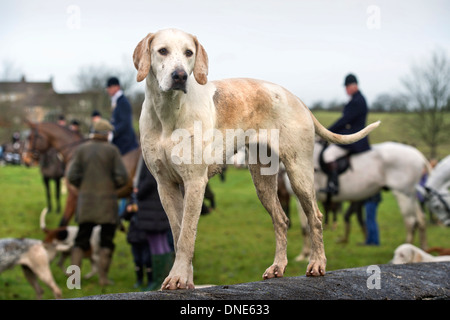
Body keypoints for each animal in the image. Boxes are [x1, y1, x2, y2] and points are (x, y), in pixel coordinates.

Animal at [286, 141, 430, 262]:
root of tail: (417, 154)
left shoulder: (302, 199)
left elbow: (306, 228)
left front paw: (305, 256)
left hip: (403, 194)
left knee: (410, 222)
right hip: (411, 196)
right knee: (421, 220)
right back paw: (423, 250)